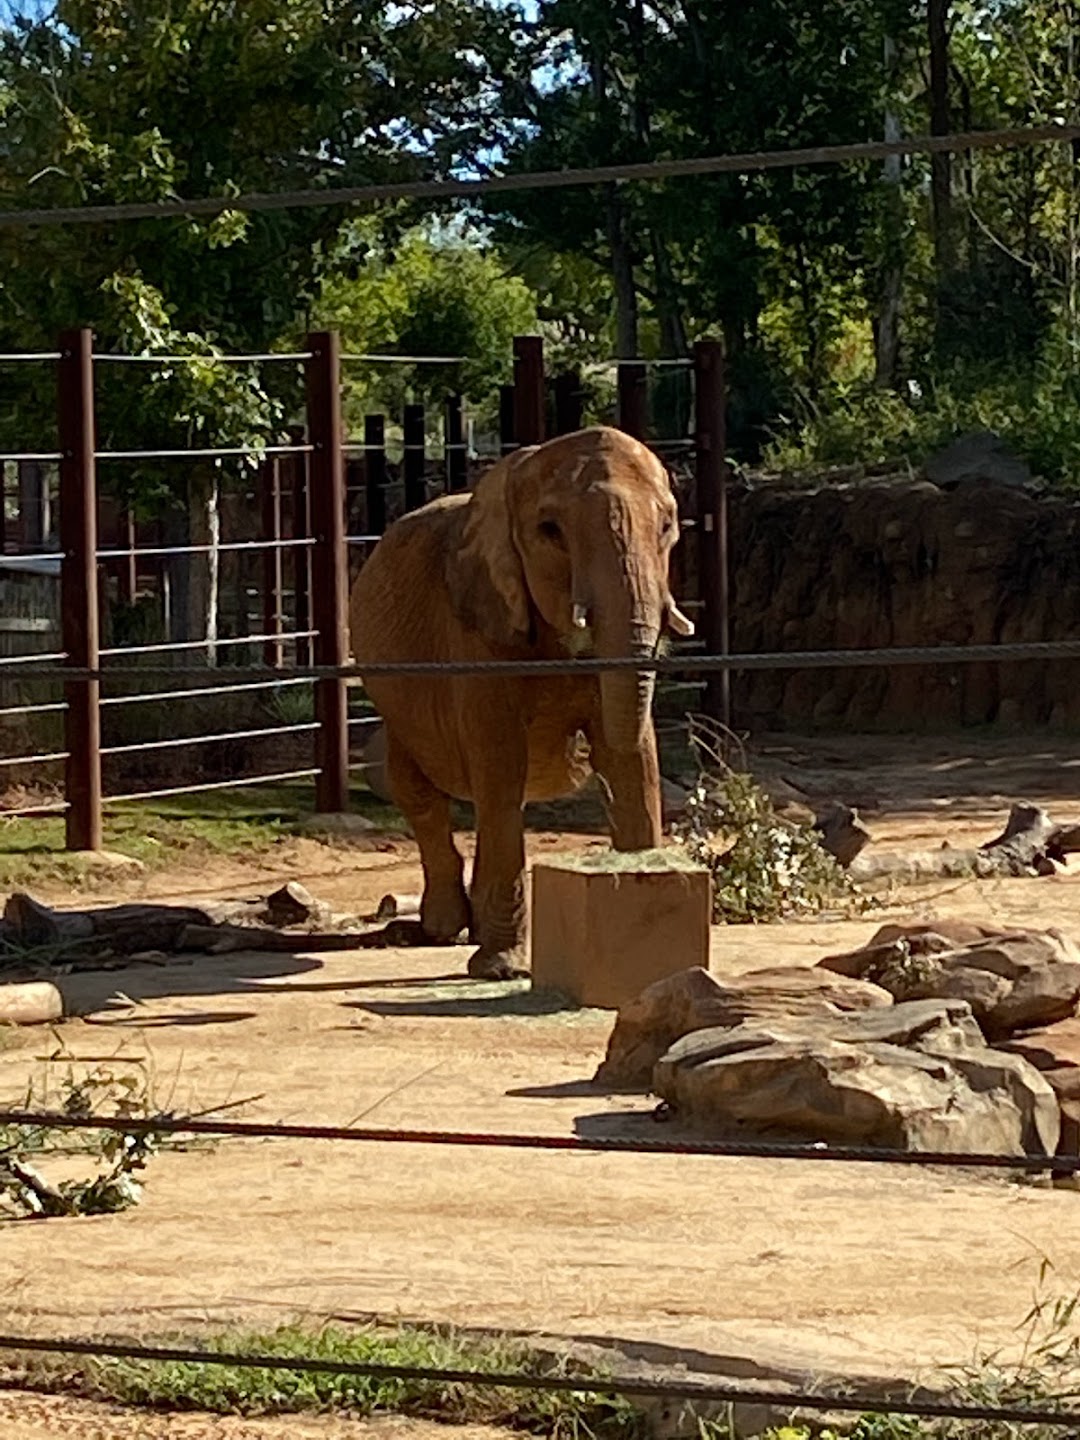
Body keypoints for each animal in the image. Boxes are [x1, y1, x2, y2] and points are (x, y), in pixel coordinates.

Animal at [351, 420, 696, 979]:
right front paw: (501, 968)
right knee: (416, 791)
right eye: (550, 531)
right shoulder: (477, 631)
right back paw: (445, 928)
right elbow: (501, 768)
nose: (579, 759)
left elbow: (634, 758)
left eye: (667, 526)